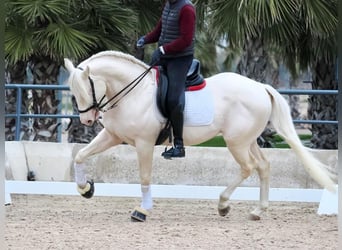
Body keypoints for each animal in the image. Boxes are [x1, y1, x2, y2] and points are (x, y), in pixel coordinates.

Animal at [63, 50, 334, 221]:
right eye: (73, 92)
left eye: (86, 89)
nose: (87, 120)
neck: (133, 92)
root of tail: (260, 87)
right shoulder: (112, 135)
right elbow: (80, 156)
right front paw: (85, 188)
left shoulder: (144, 143)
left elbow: (145, 177)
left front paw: (142, 211)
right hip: (247, 140)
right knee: (263, 166)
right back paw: (257, 211)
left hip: (236, 142)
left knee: (248, 167)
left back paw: (224, 204)